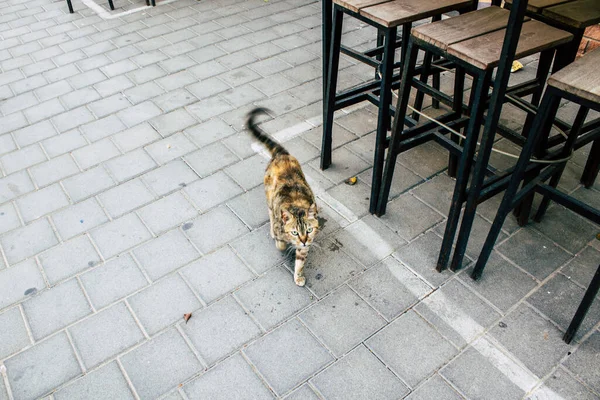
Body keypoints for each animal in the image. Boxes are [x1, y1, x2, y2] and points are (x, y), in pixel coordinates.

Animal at [246, 108, 318, 286]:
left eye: (309, 230)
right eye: (294, 232)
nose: (304, 240)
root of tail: (282, 155)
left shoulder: (305, 246)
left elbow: (300, 261)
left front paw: (298, 276)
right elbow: (281, 244)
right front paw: (282, 243)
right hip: (269, 197)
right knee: (270, 212)